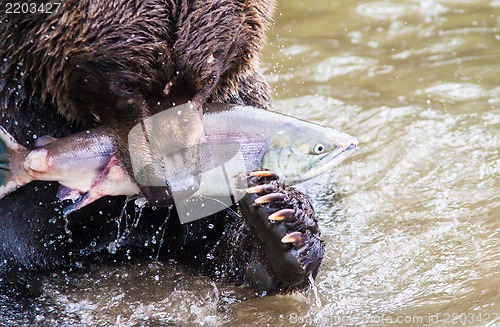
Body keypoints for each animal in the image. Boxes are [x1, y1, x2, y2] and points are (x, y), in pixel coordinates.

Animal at [0, 0, 324, 298]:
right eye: (127, 86)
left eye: (207, 79)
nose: (177, 186)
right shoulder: (20, 109)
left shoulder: (237, 110)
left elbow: (218, 237)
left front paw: (282, 224)